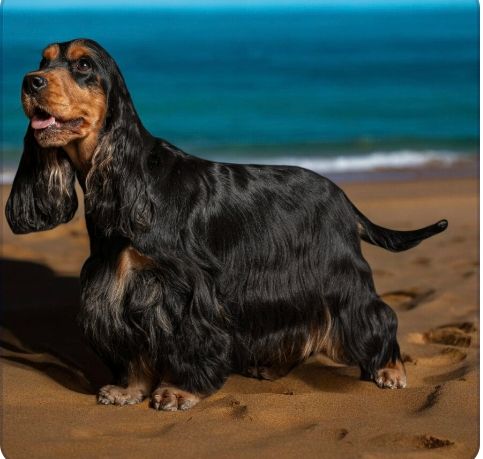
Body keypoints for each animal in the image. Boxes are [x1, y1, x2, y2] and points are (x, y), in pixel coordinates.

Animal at [5, 39, 448, 412]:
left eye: (83, 65)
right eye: (44, 59)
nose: (30, 81)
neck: (124, 176)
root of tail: (343, 197)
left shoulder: (184, 288)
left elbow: (190, 339)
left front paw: (178, 391)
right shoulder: (120, 281)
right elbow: (135, 346)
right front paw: (129, 388)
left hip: (339, 274)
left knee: (379, 313)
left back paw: (389, 369)